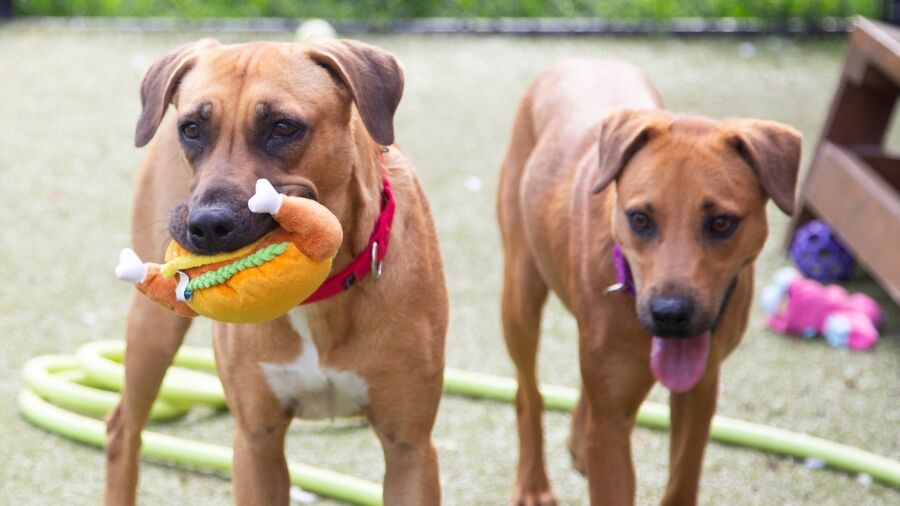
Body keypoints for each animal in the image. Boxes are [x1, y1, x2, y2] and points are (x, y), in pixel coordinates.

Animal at [103, 37, 448, 504]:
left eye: (283, 128)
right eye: (191, 129)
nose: (207, 225)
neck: (317, 297)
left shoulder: (409, 449)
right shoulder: (256, 443)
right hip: (152, 332)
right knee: (123, 430)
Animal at [500, 60, 800, 506]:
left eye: (721, 223)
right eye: (640, 218)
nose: (670, 314)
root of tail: (577, 61)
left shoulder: (699, 394)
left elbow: (682, 480)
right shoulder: (611, 426)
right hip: (520, 295)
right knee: (528, 394)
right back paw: (534, 483)